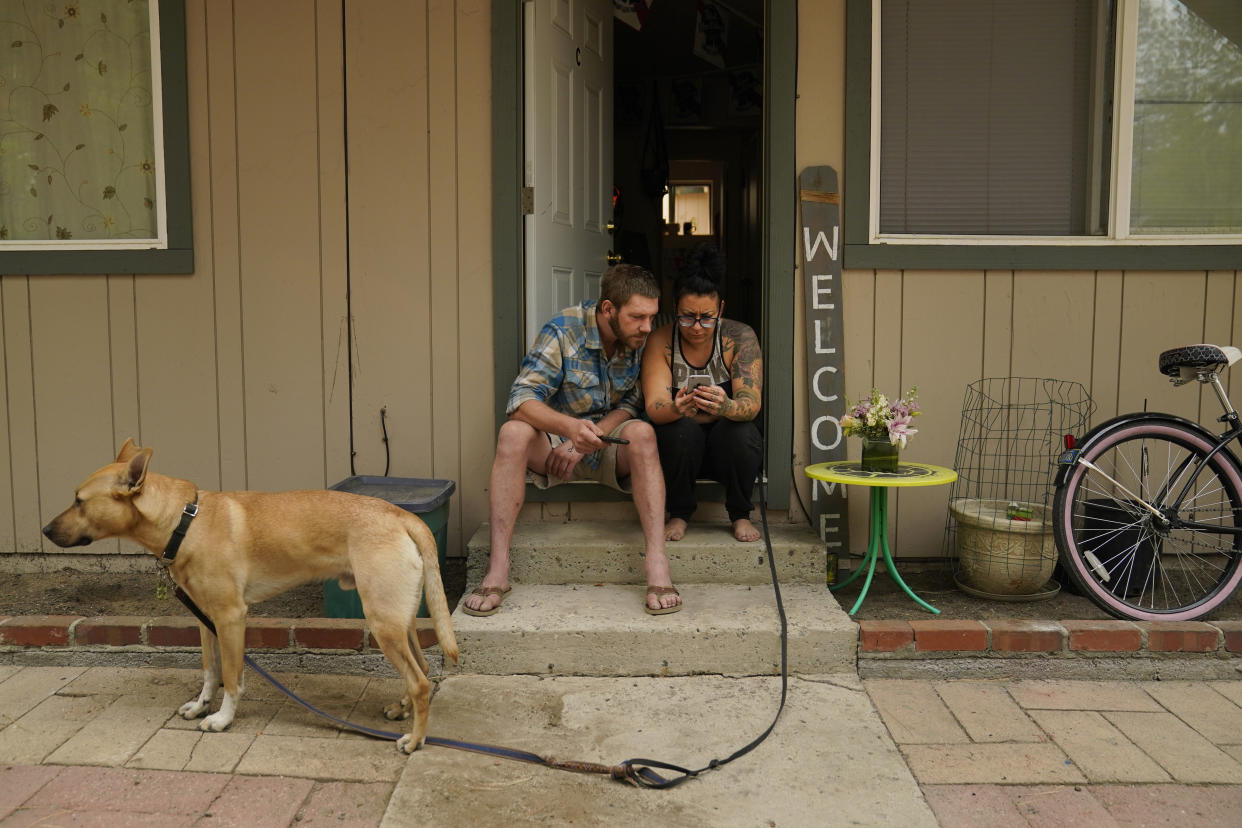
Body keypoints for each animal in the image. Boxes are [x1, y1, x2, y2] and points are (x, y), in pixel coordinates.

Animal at [43, 439, 464, 749]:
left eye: (79, 500)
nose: (45, 530)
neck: (184, 521)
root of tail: (403, 515)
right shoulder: (206, 620)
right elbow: (210, 671)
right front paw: (201, 706)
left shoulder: (231, 617)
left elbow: (231, 676)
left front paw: (222, 719)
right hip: (399, 619)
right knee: (422, 670)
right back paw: (403, 709)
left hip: (382, 622)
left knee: (420, 680)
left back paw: (415, 740)